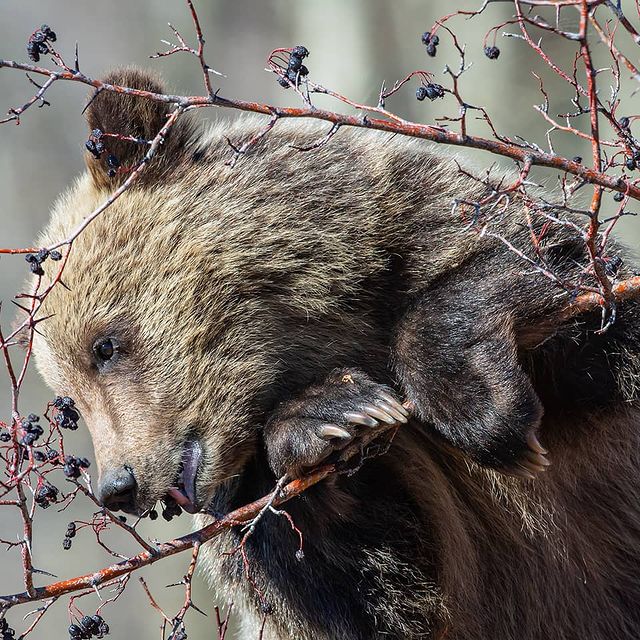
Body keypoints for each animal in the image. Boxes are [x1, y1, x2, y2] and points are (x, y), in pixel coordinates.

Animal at [32, 70, 640, 640]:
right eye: (68, 396)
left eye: (103, 346)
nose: (117, 486)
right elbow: (367, 584)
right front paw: (332, 415)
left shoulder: (426, 234)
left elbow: (549, 277)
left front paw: (482, 410)